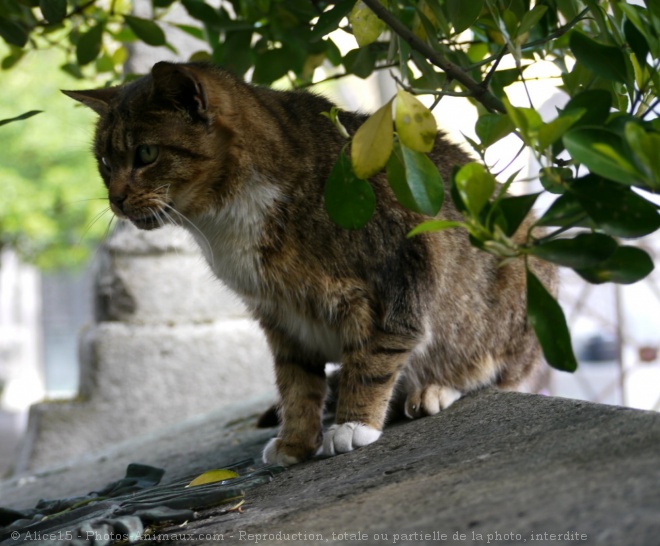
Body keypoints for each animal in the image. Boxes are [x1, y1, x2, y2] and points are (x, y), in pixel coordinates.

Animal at [64, 61, 556, 466]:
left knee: (499, 370)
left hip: (520, 272)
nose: (115, 199)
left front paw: (353, 424)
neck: (222, 222)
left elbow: (374, 357)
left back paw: (433, 388)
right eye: (105, 161)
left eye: (146, 154)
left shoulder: (399, 270)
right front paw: (297, 441)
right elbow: (295, 383)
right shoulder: (281, 314)